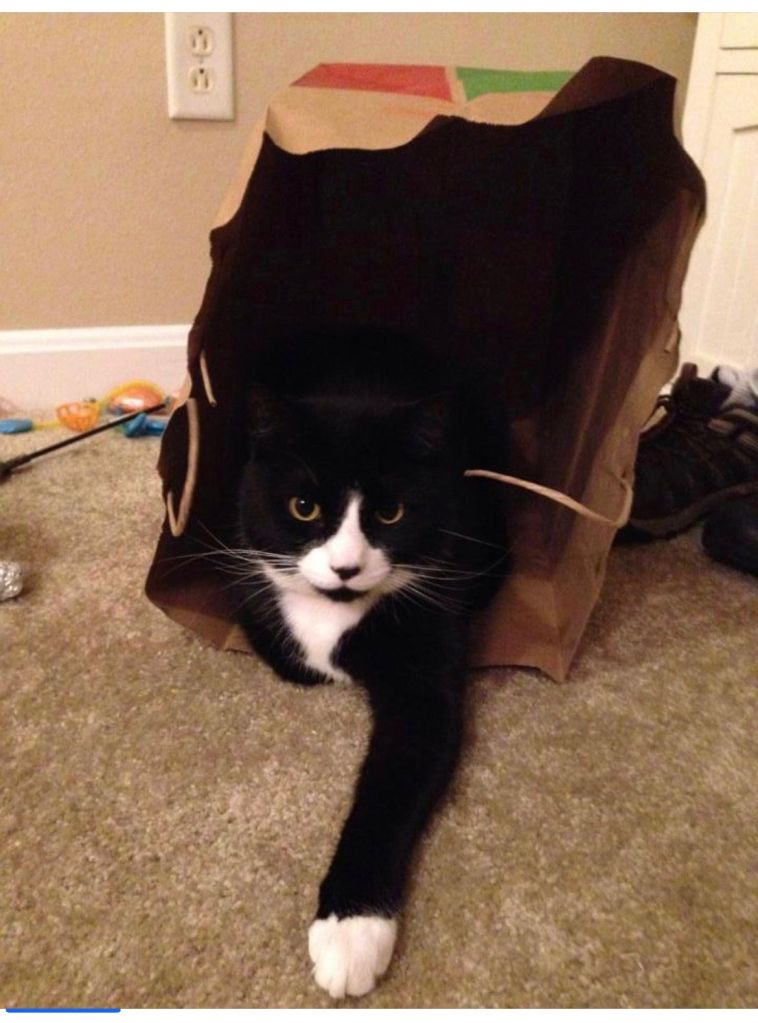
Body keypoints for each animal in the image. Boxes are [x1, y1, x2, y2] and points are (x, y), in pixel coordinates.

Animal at [232, 328, 507, 998]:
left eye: (390, 513)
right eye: (304, 507)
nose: (346, 567)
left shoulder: (428, 661)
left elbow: (391, 784)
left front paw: (351, 933)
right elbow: (292, 654)